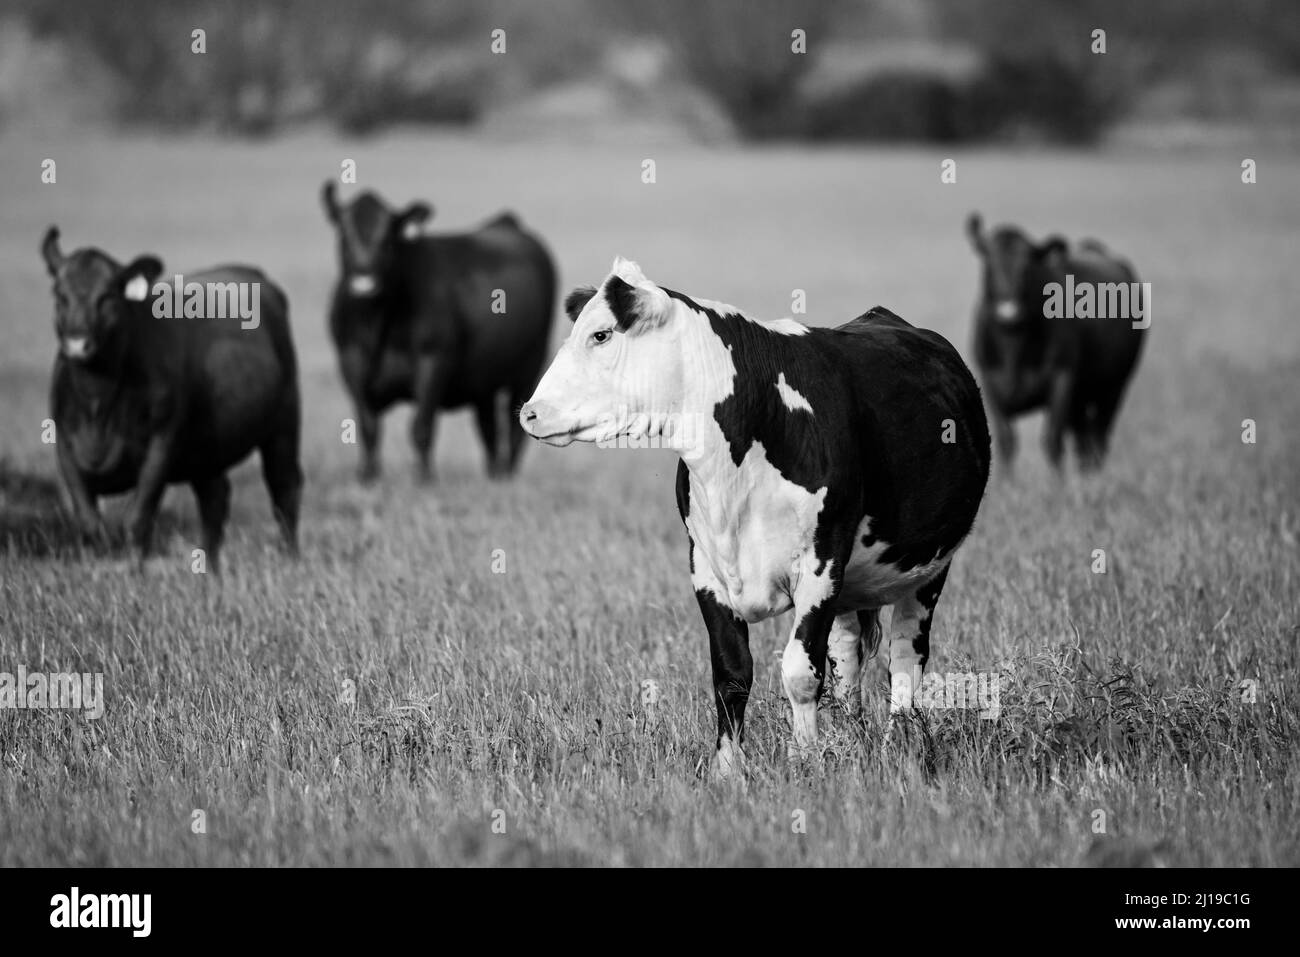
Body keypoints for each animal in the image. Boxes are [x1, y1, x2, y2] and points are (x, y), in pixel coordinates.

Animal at [42, 227, 302, 573]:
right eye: (60, 296)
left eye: (108, 296)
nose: (77, 343)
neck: (98, 406)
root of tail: (252, 273)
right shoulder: (66, 448)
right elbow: (89, 524)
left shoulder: (161, 445)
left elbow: (136, 520)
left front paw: (134, 572)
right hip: (207, 449)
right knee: (215, 498)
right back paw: (208, 570)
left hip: (283, 424)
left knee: (284, 488)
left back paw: (290, 559)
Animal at [321, 184, 556, 483]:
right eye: (343, 230)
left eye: (389, 235)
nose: (365, 275)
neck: (377, 323)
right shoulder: (350, 362)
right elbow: (367, 427)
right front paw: (367, 477)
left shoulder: (433, 361)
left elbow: (421, 426)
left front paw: (423, 479)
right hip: (484, 380)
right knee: (488, 428)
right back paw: (493, 475)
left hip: (528, 367)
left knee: (515, 428)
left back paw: (507, 475)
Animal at [519, 259, 990, 779]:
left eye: (601, 335)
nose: (530, 412)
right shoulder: (706, 568)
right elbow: (732, 672)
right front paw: (728, 769)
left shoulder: (822, 564)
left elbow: (800, 673)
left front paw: (805, 759)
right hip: (854, 588)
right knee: (848, 659)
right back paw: (853, 738)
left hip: (929, 570)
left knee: (905, 660)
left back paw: (896, 747)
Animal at [966, 213, 1146, 472]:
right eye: (989, 261)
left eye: (1028, 265)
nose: (1009, 309)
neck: (1013, 345)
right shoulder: (989, 382)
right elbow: (1006, 440)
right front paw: (1007, 482)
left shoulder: (1062, 379)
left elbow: (1052, 439)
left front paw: (1057, 483)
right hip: (1082, 398)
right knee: (1083, 439)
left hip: (1115, 387)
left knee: (1098, 437)